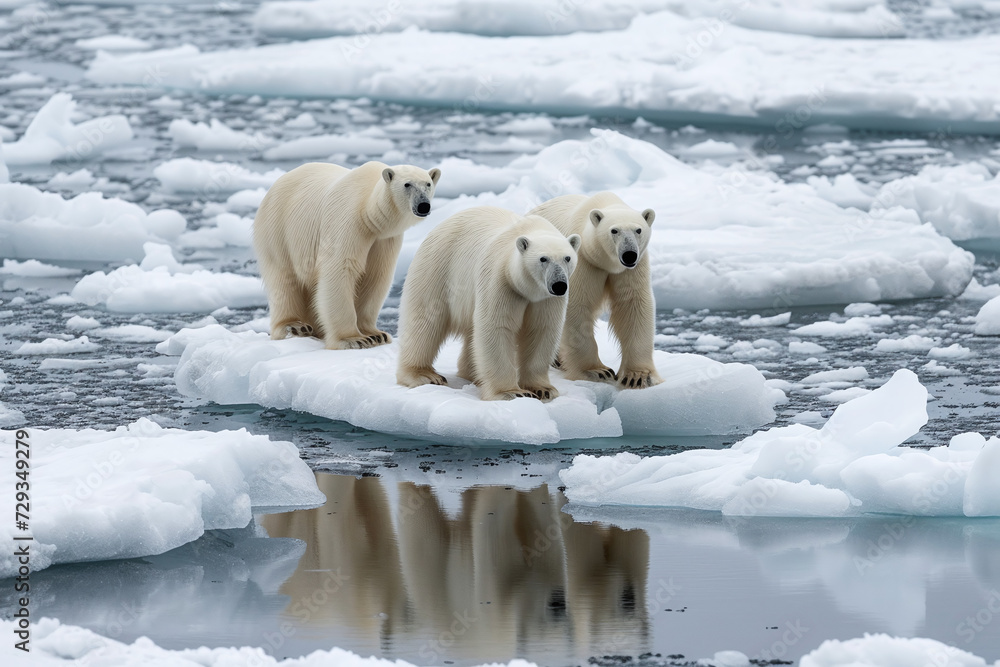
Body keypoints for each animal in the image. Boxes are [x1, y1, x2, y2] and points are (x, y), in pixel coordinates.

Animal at [253, 160, 440, 350]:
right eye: (407, 184)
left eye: (428, 184)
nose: (423, 205)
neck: (368, 209)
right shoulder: (348, 221)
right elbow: (340, 269)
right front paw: (354, 339)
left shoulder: (383, 239)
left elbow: (374, 276)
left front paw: (376, 334)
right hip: (277, 229)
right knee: (284, 279)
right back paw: (295, 326)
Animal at [396, 206, 581, 401]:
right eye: (543, 259)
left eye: (567, 258)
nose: (559, 284)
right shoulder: (501, 280)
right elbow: (496, 327)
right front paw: (511, 392)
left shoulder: (545, 299)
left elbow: (541, 330)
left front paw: (543, 389)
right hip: (438, 268)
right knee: (425, 320)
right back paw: (424, 375)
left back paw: (473, 374)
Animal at [528, 192, 662, 389]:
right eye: (614, 231)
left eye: (638, 230)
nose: (629, 254)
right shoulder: (583, 260)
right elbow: (577, 304)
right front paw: (597, 371)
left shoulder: (632, 268)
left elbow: (633, 305)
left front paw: (638, 376)